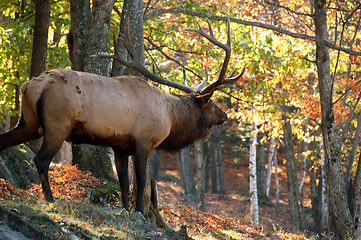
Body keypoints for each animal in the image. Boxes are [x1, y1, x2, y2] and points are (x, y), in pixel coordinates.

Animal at [0, 18, 245, 214]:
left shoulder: (120, 146)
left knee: (5, 141)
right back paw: (51, 199)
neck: (170, 117)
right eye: (212, 103)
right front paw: (139, 211)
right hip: (57, 125)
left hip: (29, 121)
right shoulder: (143, 141)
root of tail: (29, 86)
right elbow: (141, 180)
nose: (224, 115)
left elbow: (124, 182)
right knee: (41, 160)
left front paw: (126, 209)